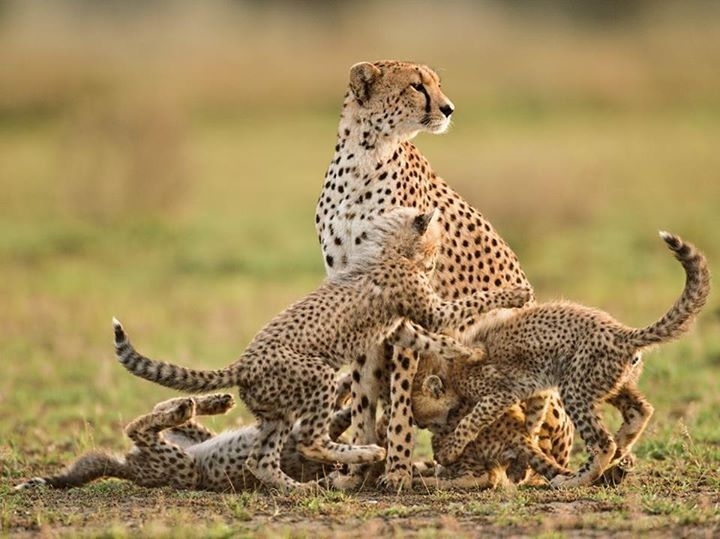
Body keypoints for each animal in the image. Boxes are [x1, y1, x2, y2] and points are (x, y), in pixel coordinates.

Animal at [114, 208, 528, 494]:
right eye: (437, 243)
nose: (436, 259)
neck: (386, 251)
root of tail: (242, 363)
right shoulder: (428, 311)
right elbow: (469, 304)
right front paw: (515, 294)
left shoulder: (401, 327)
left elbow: (433, 340)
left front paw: (468, 353)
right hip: (317, 378)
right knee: (311, 441)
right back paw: (366, 454)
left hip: (277, 412)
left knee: (260, 461)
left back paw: (298, 489)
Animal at [316, 60, 572, 490]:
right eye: (416, 86)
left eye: (437, 84)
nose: (449, 108)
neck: (366, 155)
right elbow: (365, 394)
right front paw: (356, 471)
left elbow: (402, 396)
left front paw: (397, 470)